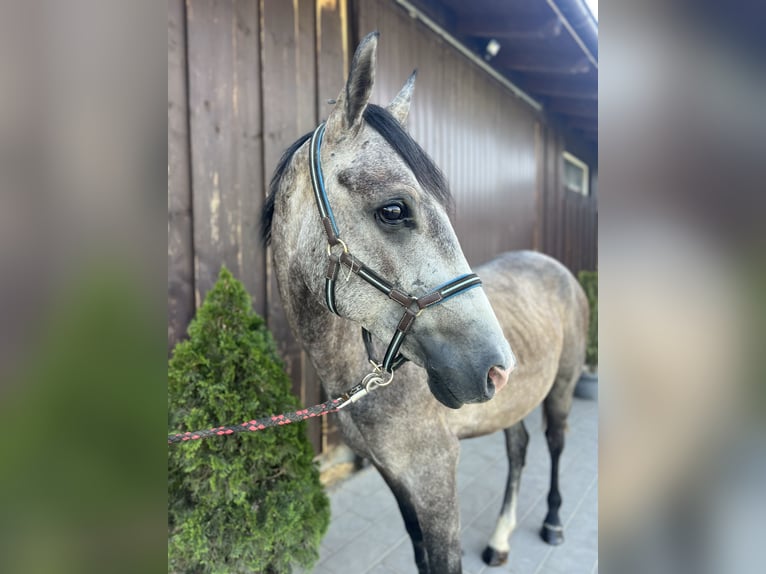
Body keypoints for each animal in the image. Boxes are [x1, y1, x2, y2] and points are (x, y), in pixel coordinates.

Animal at [261, 32, 588, 574]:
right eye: (393, 210)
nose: (497, 369)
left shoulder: (436, 481)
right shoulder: (397, 479)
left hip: (561, 389)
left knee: (557, 444)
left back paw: (555, 522)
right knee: (519, 449)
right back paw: (500, 539)